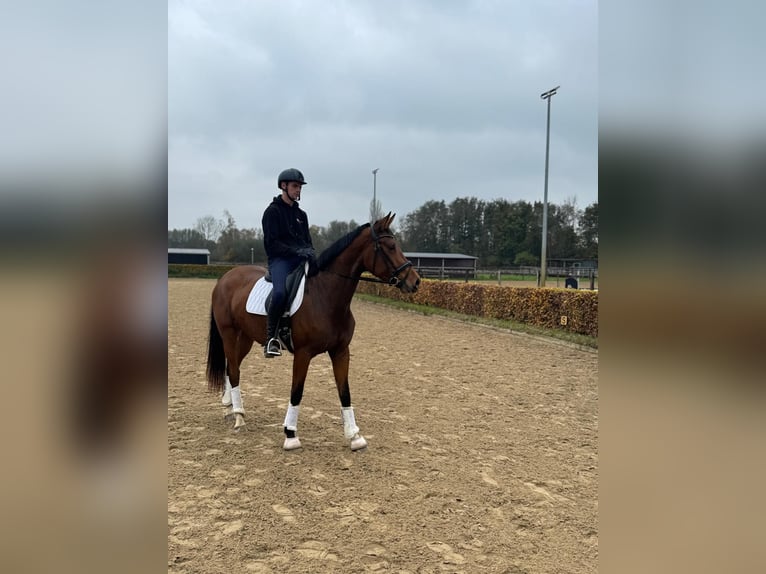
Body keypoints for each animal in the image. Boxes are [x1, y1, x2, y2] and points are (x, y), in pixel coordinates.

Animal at [207, 214, 424, 452]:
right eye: (391, 247)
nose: (415, 281)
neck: (326, 296)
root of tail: (225, 278)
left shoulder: (341, 352)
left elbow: (344, 392)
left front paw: (354, 436)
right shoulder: (303, 354)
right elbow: (297, 391)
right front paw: (290, 435)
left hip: (245, 338)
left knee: (231, 367)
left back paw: (229, 408)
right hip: (229, 334)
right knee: (234, 371)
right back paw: (239, 417)